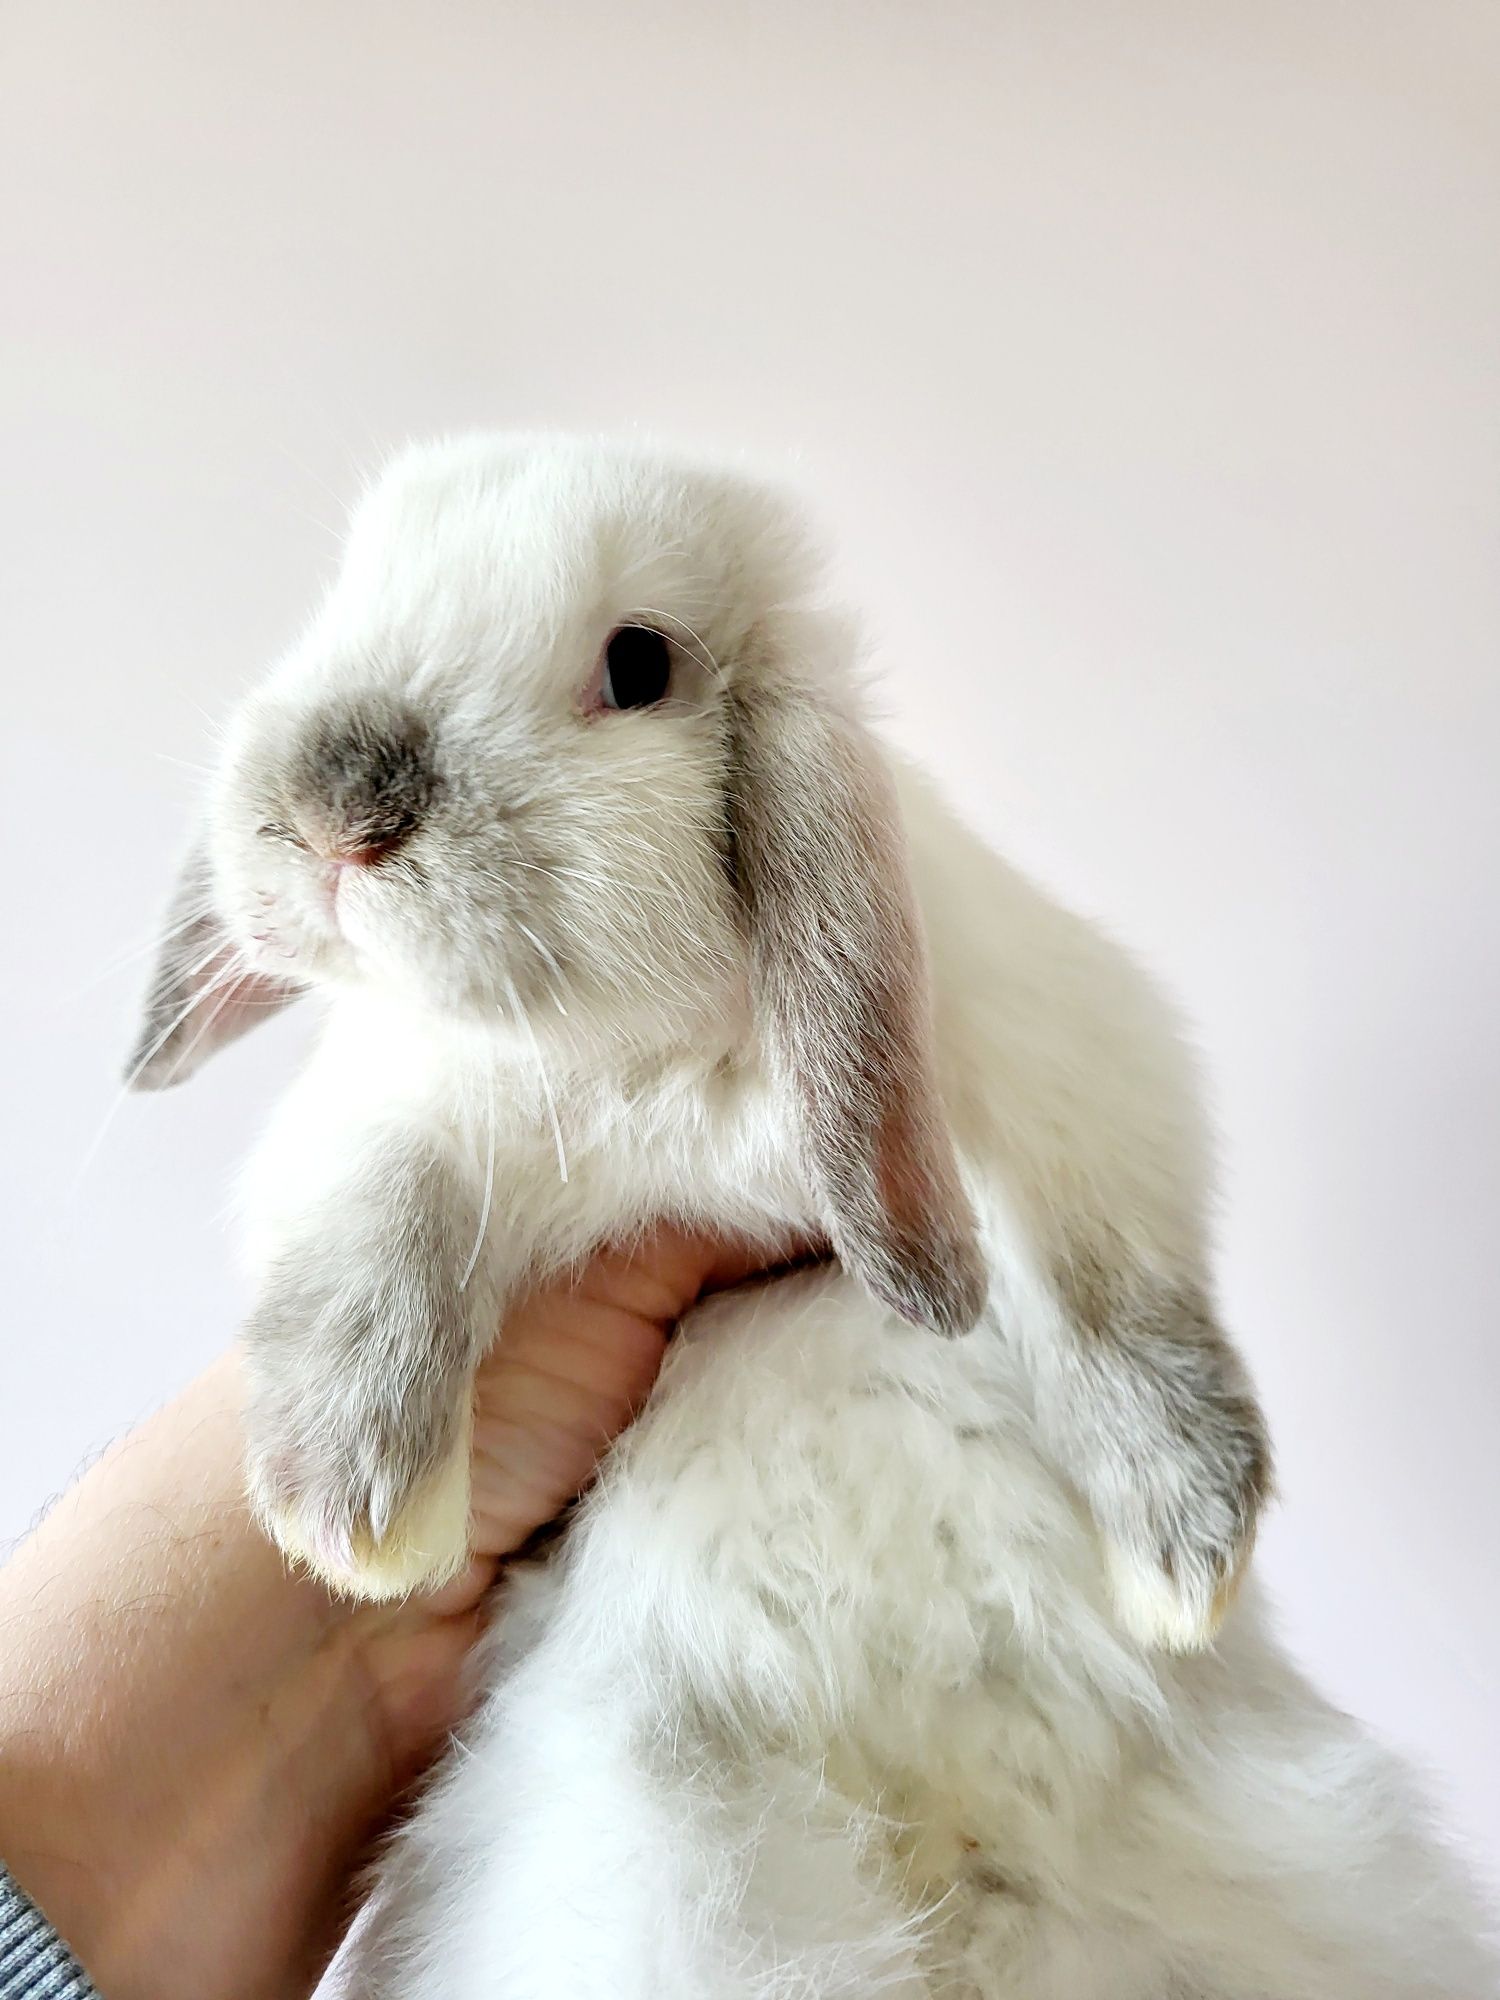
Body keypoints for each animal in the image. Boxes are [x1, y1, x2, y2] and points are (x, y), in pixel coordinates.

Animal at [129, 430, 1500, 1992]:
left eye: (640, 662)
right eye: (344, 596)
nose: (330, 817)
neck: (665, 1056)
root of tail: (945, 1847)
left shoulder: (1069, 1084)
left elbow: (1113, 1310)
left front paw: (1183, 1561)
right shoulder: (391, 1123)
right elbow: (371, 1251)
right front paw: (356, 1515)